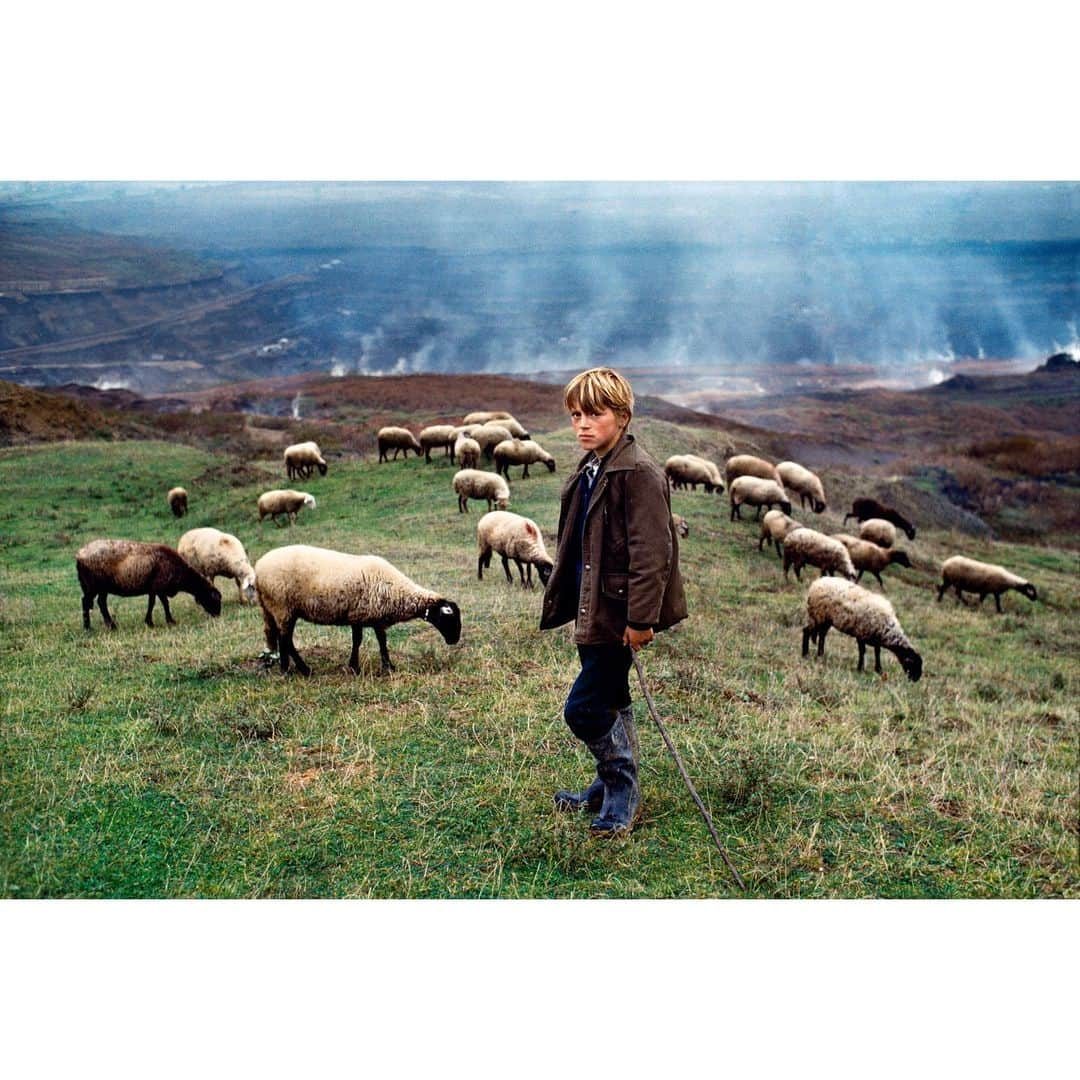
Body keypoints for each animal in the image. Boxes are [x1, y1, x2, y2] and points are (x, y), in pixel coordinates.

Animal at [76, 540, 221, 630]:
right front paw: (158, 622)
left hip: (102, 587)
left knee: (101, 603)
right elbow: (159, 603)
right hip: (93, 585)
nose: (218, 615)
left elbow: (158, 603)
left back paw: (111, 626)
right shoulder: (158, 586)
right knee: (86, 601)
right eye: (214, 599)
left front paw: (157, 621)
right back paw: (88, 627)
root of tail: (79, 555)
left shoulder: (155, 588)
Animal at [254, 548, 462, 673]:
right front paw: (356, 667)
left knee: (279, 636)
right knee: (286, 639)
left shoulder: (374, 616)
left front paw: (388, 666)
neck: (398, 589)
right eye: (449, 619)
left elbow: (381, 641)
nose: (454, 641)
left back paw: (286, 667)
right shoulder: (359, 615)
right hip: (283, 606)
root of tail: (258, 569)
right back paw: (301, 670)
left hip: (272, 608)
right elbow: (359, 641)